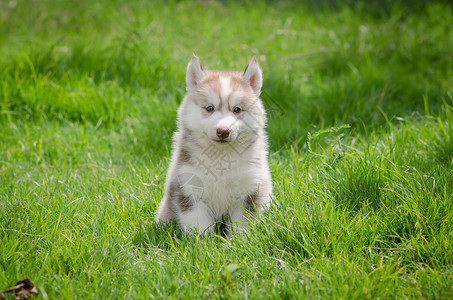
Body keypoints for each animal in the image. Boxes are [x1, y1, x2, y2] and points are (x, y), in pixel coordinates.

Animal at [154, 54, 272, 234]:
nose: (223, 131)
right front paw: (203, 241)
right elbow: (199, 225)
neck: (220, 158)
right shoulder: (190, 189)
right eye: (209, 108)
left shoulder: (249, 190)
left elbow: (241, 226)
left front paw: (239, 240)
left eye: (237, 109)